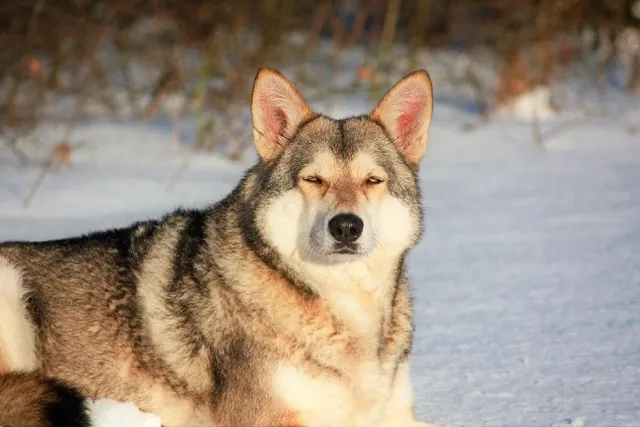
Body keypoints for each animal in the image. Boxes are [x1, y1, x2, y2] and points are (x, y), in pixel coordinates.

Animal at [0, 67, 435, 427]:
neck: (343, 303)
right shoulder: (270, 418)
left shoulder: (394, 414)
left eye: (372, 181)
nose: (346, 227)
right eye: (313, 179)